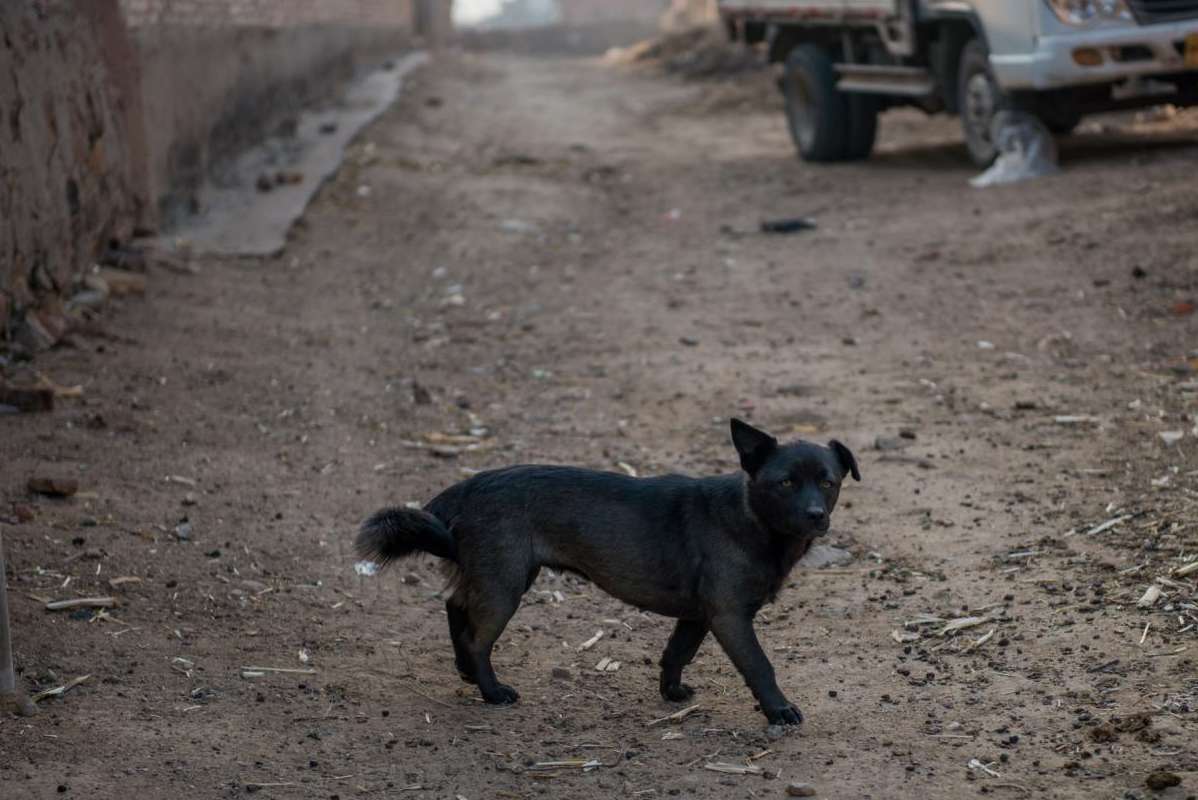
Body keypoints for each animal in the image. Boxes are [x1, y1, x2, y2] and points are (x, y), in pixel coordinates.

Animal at [354, 419, 862, 723]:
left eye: (828, 482)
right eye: (785, 483)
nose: (816, 515)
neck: (751, 519)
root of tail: (463, 488)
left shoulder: (698, 615)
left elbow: (675, 653)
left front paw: (671, 692)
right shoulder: (730, 616)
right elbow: (760, 666)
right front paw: (779, 710)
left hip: (496, 576)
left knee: (456, 608)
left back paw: (464, 671)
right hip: (505, 586)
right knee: (478, 638)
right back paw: (493, 691)